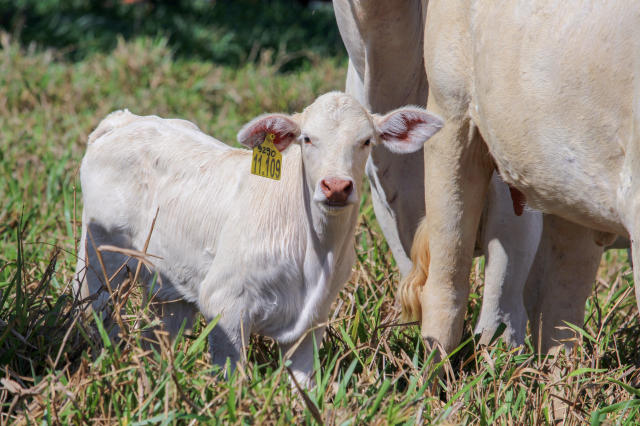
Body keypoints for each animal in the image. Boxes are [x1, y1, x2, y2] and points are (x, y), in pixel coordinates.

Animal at [74, 92, 443, 385]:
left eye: (366, 141)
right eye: (307, 139)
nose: (336, 187)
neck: (313, 251)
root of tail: (124, 120)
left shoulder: (313, 320)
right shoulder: (224, 304)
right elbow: (231, 379)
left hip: (169, 289)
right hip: (99, 265)